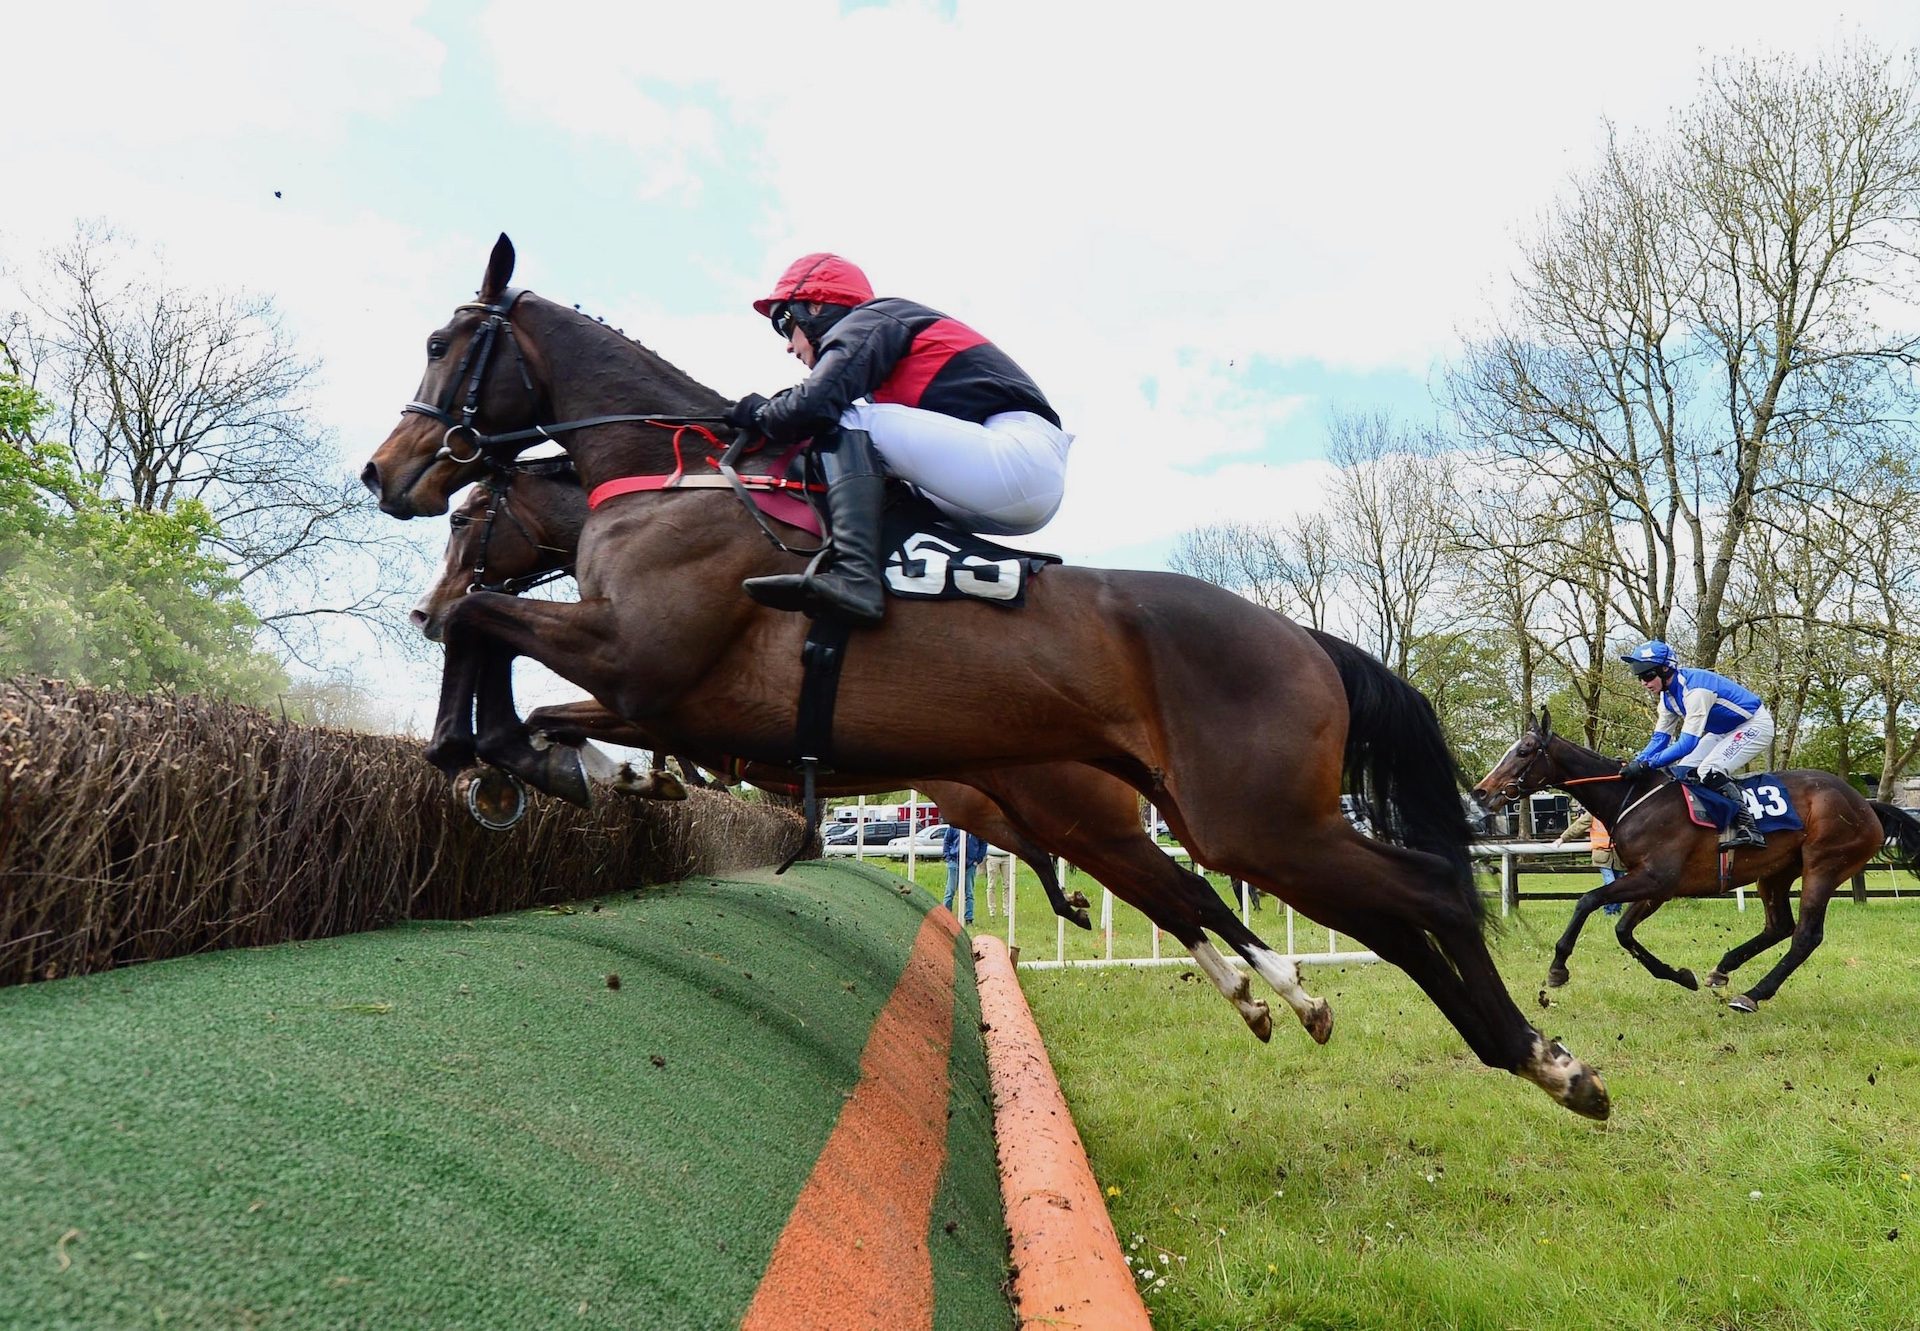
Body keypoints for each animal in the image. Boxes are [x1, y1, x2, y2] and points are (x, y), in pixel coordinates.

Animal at [357, 233, 1605, 1113]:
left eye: (442, 343)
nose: (385, 471)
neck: (672, 477)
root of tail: (1303, 639)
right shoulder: (655, 690)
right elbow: (505, 654)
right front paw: (519, 756)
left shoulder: (644, 663)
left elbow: (487, 620)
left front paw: (503, 747)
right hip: (1200, 818)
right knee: (1306, 907)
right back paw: (1391, 1022)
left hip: (1254, 819)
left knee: (1418, 893)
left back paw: (1540, 1056)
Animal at [1466, 718, 1920, 1006]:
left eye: (1525, 750)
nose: (1481, 791)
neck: (1634, 796)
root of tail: (1865, 804)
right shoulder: (1657, 886)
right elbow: (1623, 931)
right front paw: (1680, 976)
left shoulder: (1655, 877)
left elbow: (1588, 901)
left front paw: (1557, 969)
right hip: (1775, 872)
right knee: (1779, 926)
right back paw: (1722, 971)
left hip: (1824, 865)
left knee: (1805, 935)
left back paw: (1753, 995)